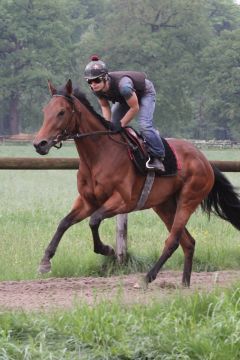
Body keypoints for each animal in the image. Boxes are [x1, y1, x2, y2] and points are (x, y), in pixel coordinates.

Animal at [33, 79, 240, 286]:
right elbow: (64, 222)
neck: (99, 155)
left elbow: (94, 220)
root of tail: (205, 161)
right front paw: (45, 261)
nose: (39, 144)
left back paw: (147, 277)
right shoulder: (87, 201)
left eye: (61, 112)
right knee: (188, 242)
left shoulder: (122, 201)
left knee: (173, 241)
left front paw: (107, 249)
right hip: (164, 205)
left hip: (188, 200)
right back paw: (184, 284)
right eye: (45, 111)